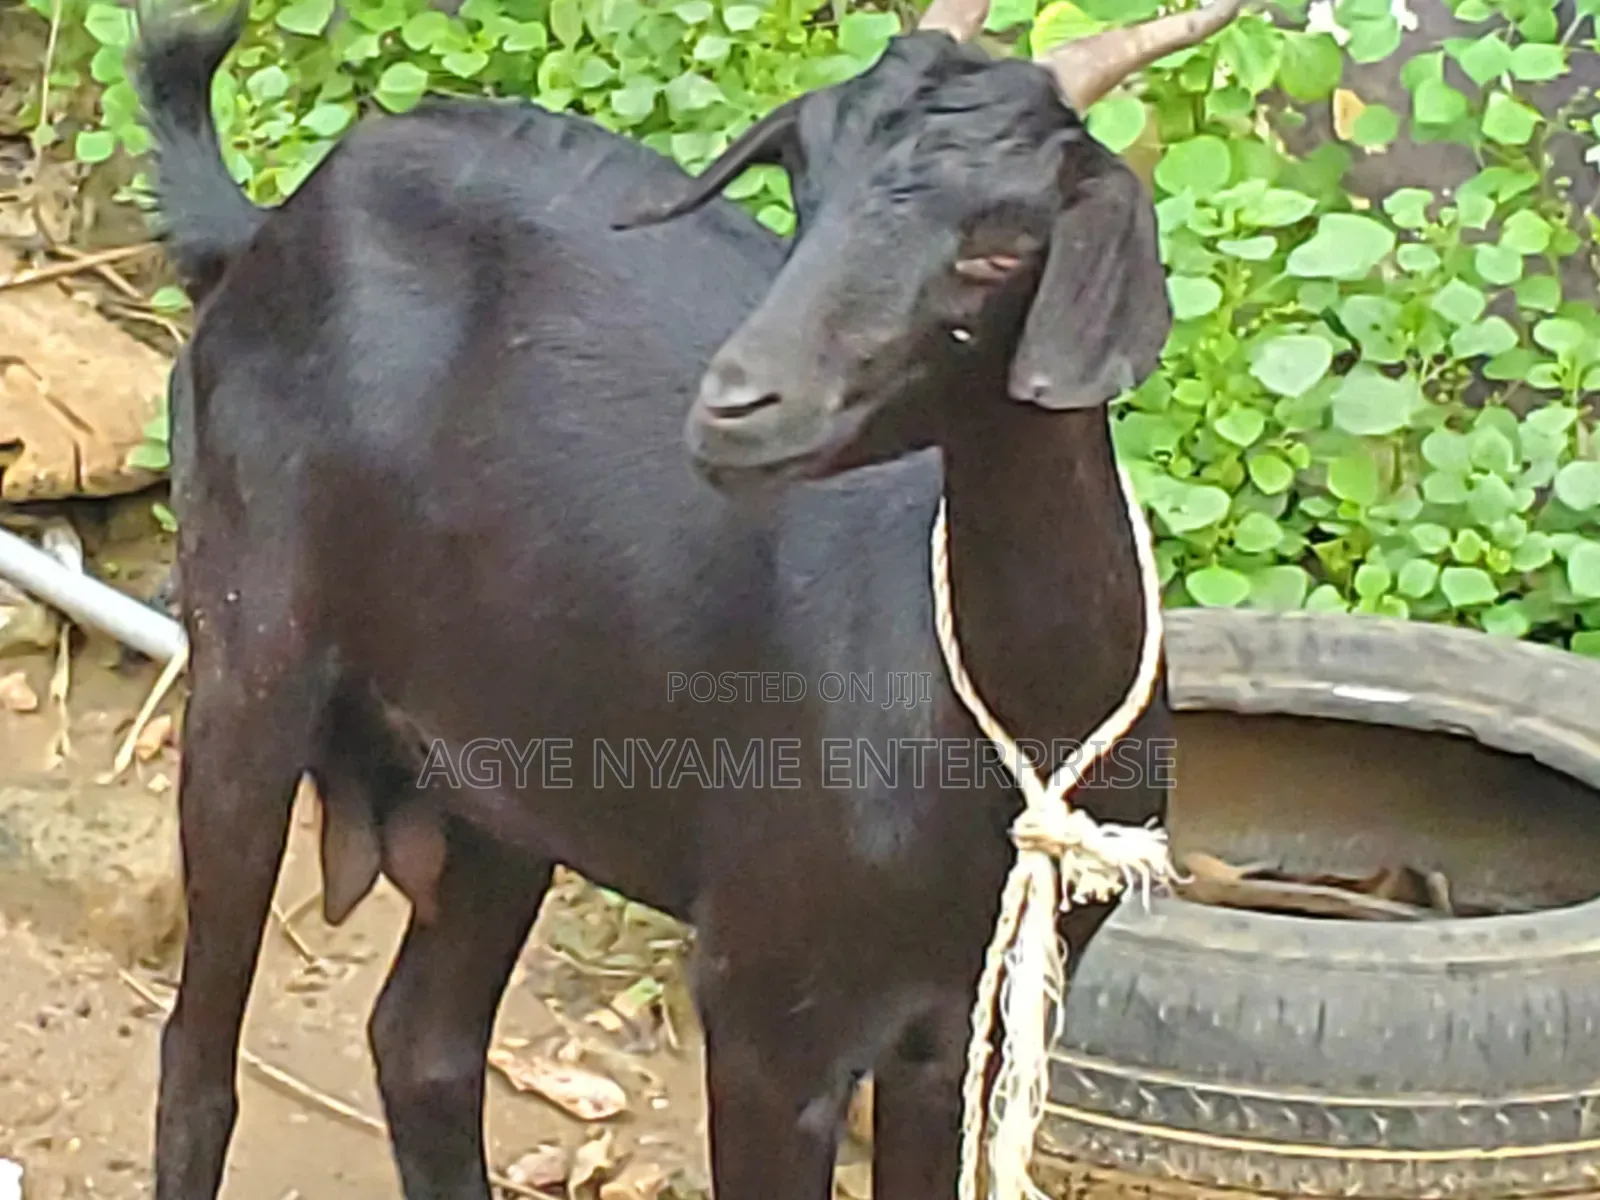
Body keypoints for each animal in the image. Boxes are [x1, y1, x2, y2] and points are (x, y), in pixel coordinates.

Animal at [130, 0, 1242, 1194]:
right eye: (805, 188)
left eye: (1002, 246)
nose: (735, 405)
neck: (999, 725)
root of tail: (267, 228)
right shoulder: (767, 1004)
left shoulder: (952, 1025)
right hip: (251, 650)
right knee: (199, 1054)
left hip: (505, 770)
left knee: (422, 1043)